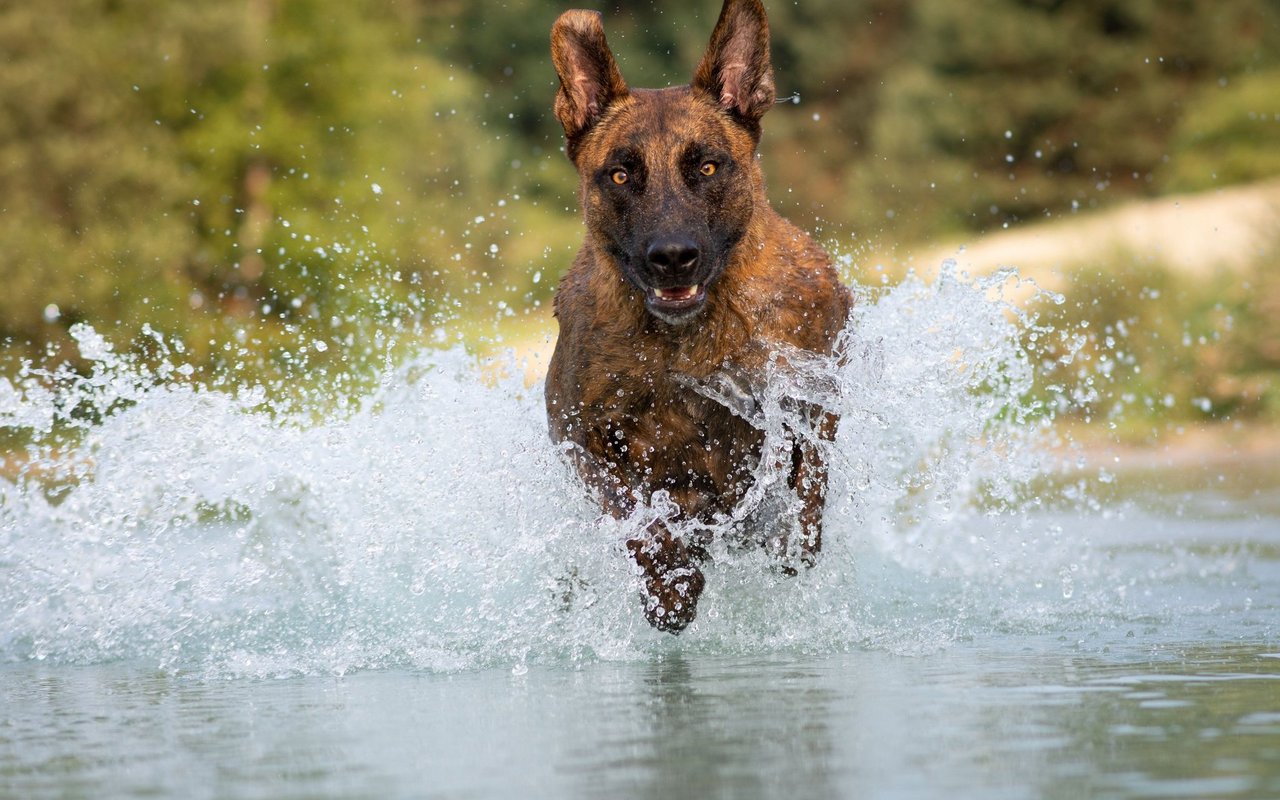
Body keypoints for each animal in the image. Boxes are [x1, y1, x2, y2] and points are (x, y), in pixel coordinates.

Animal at [542, 0, 849, 632]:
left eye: (706, 168)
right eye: (620, 174)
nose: (672, 256)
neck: (682, 341)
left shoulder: (813, 396)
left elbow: (806, 487)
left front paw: (788, 541)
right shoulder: (580, 438)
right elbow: (635, 514)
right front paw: (670, 584)